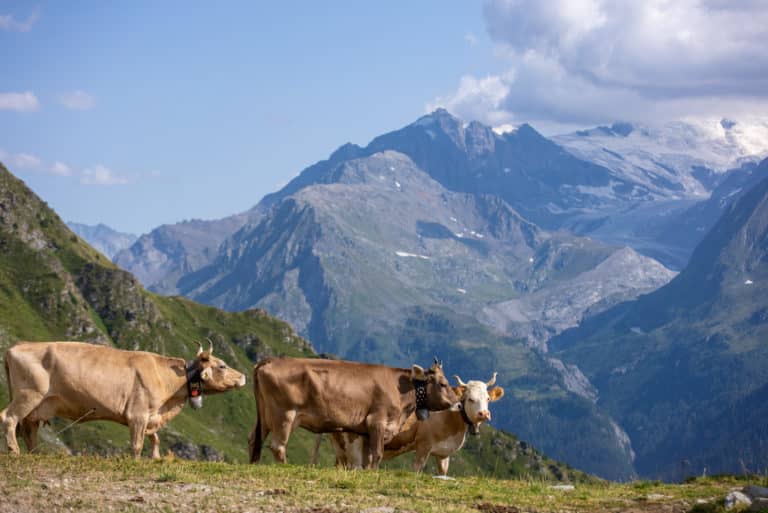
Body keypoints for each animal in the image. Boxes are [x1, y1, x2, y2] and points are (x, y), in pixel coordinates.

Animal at [1, 340, 246, 458]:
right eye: (222, 365)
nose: (243, 376)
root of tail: (16, 346)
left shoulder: (150, 415)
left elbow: (155, 439)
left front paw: (155, 457)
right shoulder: (138, 414)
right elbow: (137, 444)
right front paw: (137, 461)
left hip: (38, 405)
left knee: (29, 430)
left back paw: (34, 453)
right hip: (28, 394)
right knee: (8, 417)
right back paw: (14, 450)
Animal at [248, 356, 459, 468]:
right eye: (443, 384)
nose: (458, 404)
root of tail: (268, 361)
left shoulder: (365, 430)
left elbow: (367, 458)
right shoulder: (377, 422)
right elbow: (377, 454)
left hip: (266, 416)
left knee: (254, 439)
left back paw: (253, 463)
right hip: (284, 415)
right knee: (277, 445)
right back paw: (285, 466)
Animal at [317, 372, 504, 475]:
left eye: (488, 399)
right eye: (470, 399)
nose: (484, 414)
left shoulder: (444, 453)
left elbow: (443, 472)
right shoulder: (423, 445)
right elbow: (416, 469)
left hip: (339, 444)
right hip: (353, 440)